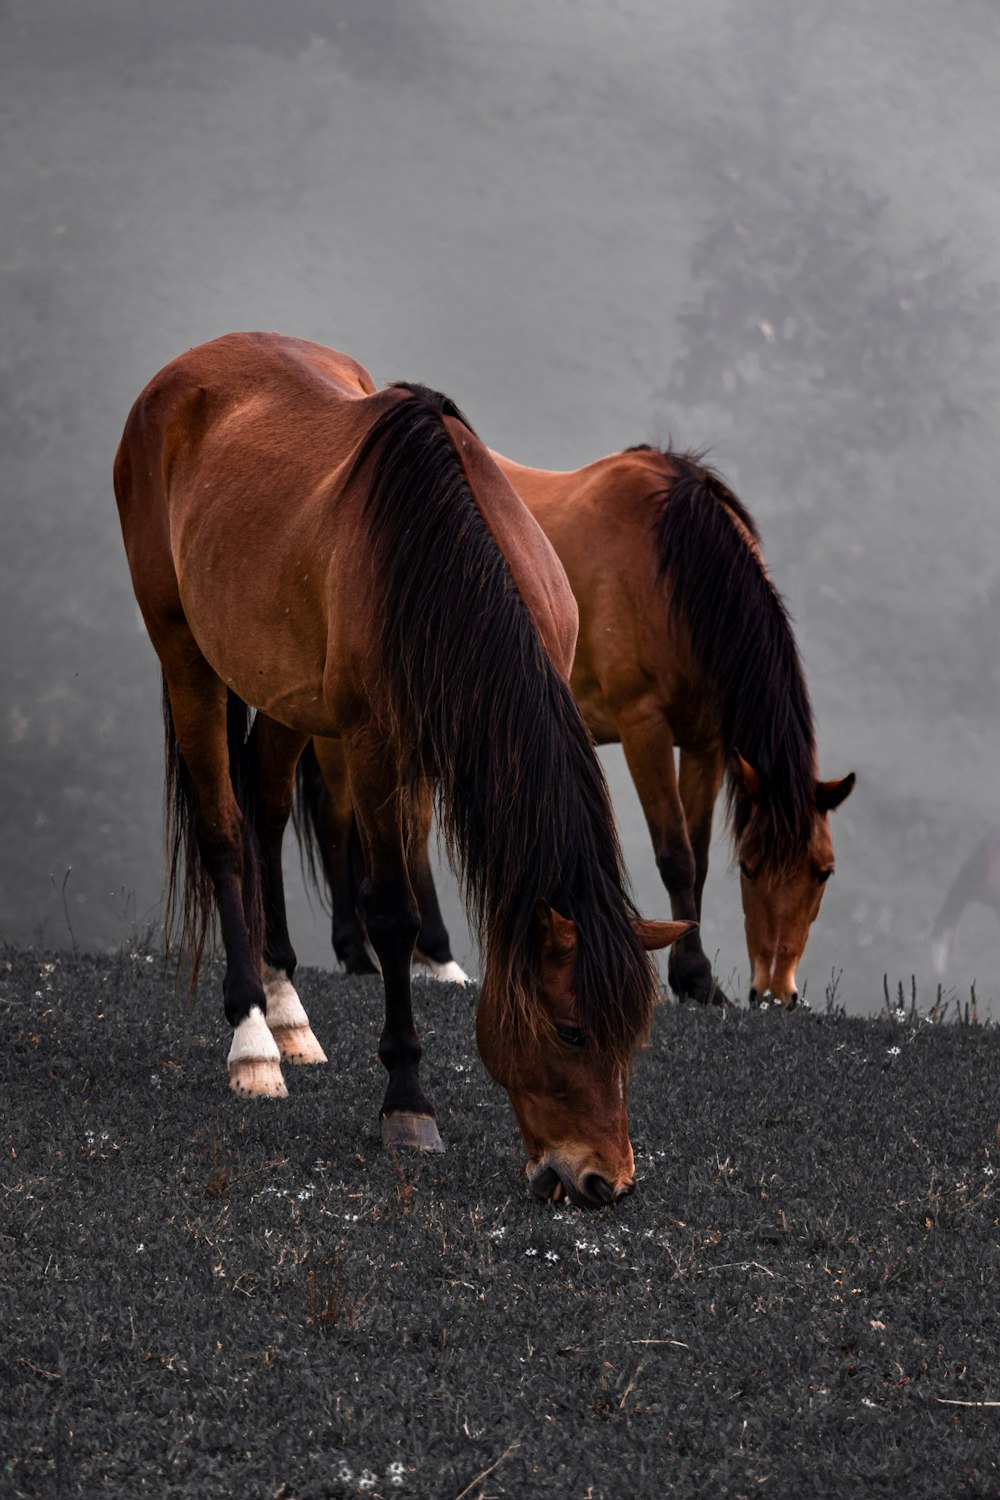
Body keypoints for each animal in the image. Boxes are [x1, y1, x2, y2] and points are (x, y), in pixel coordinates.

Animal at [111, 331, 689, 1206]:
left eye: (633, 1035)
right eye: (568, 1030)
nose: (602, 1181)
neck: (443, 562)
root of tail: (181, 376)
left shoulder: (428, 751)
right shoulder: (377, 747)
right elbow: (392, 914)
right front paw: (408, 1101)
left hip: (285, 694)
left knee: (266, 811)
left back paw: (287, 1008)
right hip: (185, 656)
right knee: (224, 832)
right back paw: (253, 1036)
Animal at [296, 444, 851, 1008]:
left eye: (824, 872)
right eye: (751, 866)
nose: (777, 993)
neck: (669, 569)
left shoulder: (704, 744)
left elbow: (695, 858)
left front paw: (700, 982)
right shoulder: (643, 726)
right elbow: (676, 856)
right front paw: (694, 977)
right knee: (337, 816)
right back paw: (358, 953)